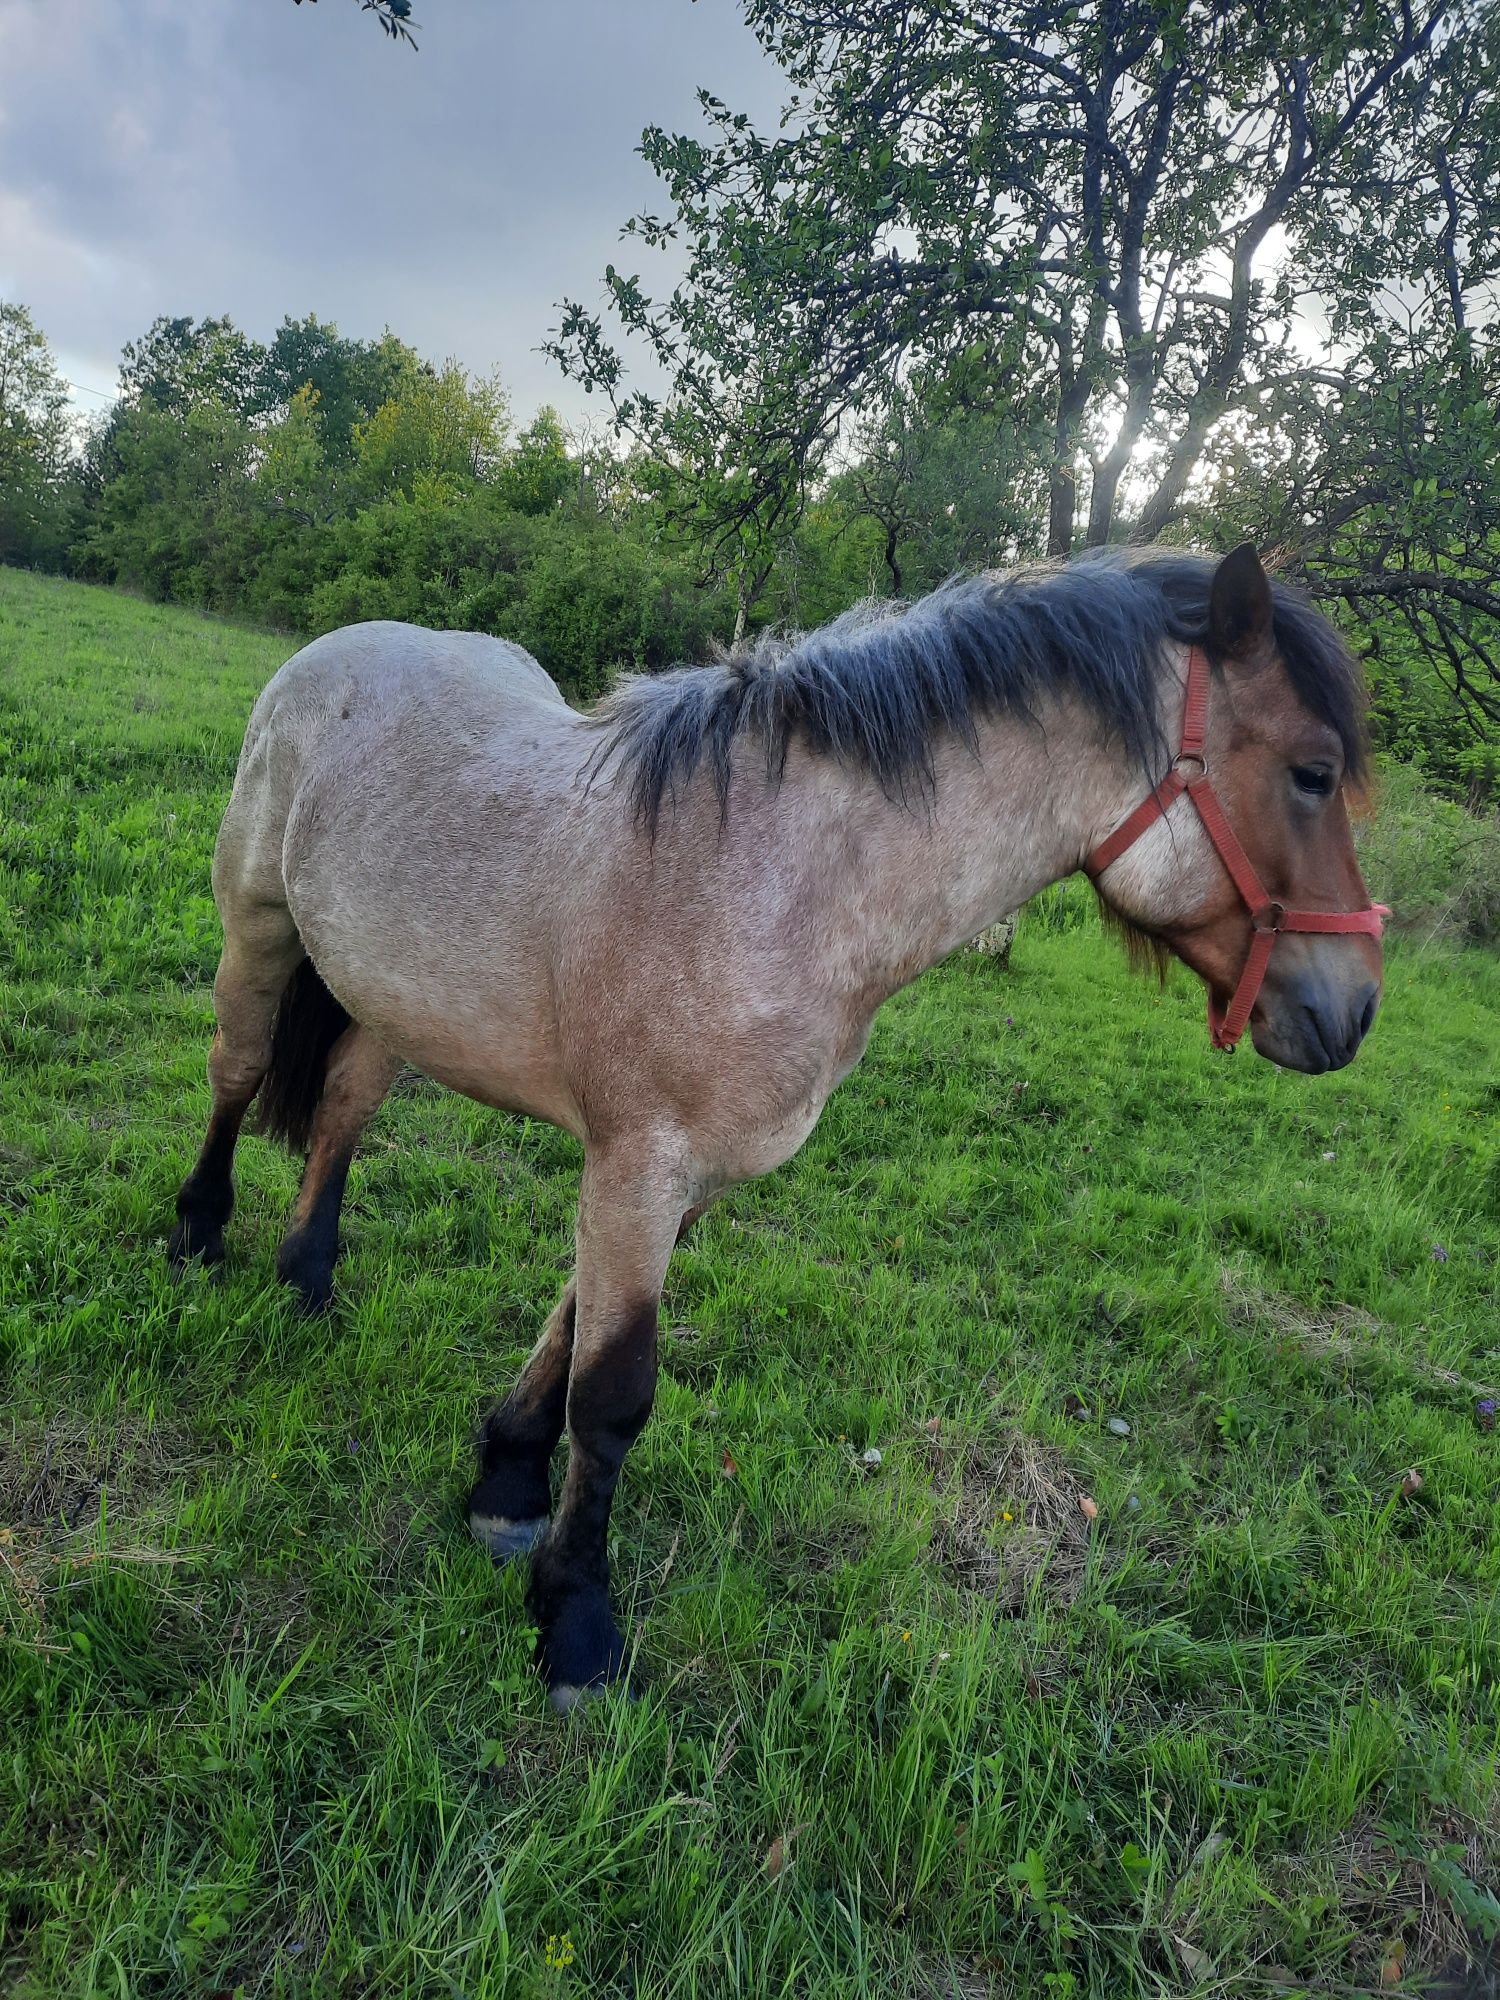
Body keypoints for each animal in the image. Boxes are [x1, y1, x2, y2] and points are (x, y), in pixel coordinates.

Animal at [170, 544, 1392, 1704]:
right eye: (1313, 773)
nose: (1355, 1009)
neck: (776, 885)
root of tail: (344, 646)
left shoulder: (679, 1181)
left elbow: (571, 1336)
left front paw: (507, 1483)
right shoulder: (640, 1163)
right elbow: (611, 1397)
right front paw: (575, 1622)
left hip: (391, 998)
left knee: (343, 1108)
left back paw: (308, 1276)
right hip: (258, 922)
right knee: (236, 1070)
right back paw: (197, 1233)